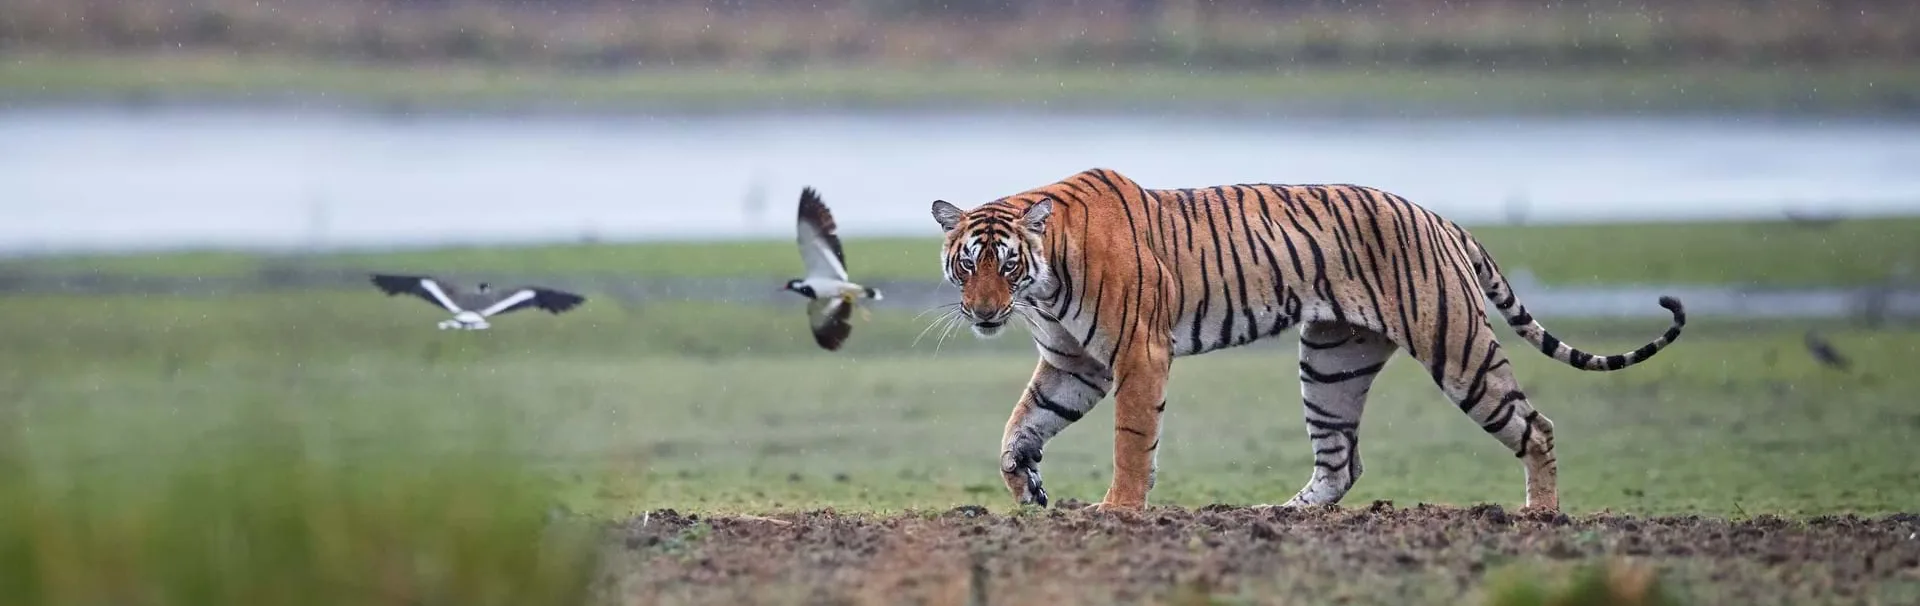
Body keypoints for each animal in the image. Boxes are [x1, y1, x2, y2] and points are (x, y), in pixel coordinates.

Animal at [928, 167, 1685, 514]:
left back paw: (1540, 515)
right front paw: (1026, 485)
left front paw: (1117, 510)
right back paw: (1284, 512)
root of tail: (1436, 213)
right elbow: (1019, 426)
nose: (984, 312)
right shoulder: (1073, 363)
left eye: (1007, 264)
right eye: (969, 264)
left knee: (1537, 426)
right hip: (1330, 361)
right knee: (1341, 461)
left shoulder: (1137, 354)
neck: (1044, 282)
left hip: (1459, 349)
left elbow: (1131, 440)